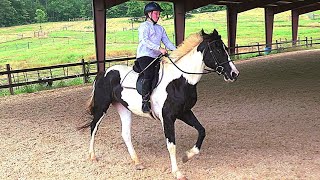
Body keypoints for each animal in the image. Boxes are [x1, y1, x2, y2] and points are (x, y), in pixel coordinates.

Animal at [79, 28, 239, 179]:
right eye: (218, 49)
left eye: (225, 48)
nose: (234, 74)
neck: (180, 80)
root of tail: (103, 73)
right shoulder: (167, 118)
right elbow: (171, 145)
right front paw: (177, 172)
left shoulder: (185, 112)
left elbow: (201, 131)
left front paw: (187, 156)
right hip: (102, 107)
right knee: (94, 127)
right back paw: (92, 156)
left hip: (123, 108)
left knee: (125, 134)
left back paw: (137, 162)